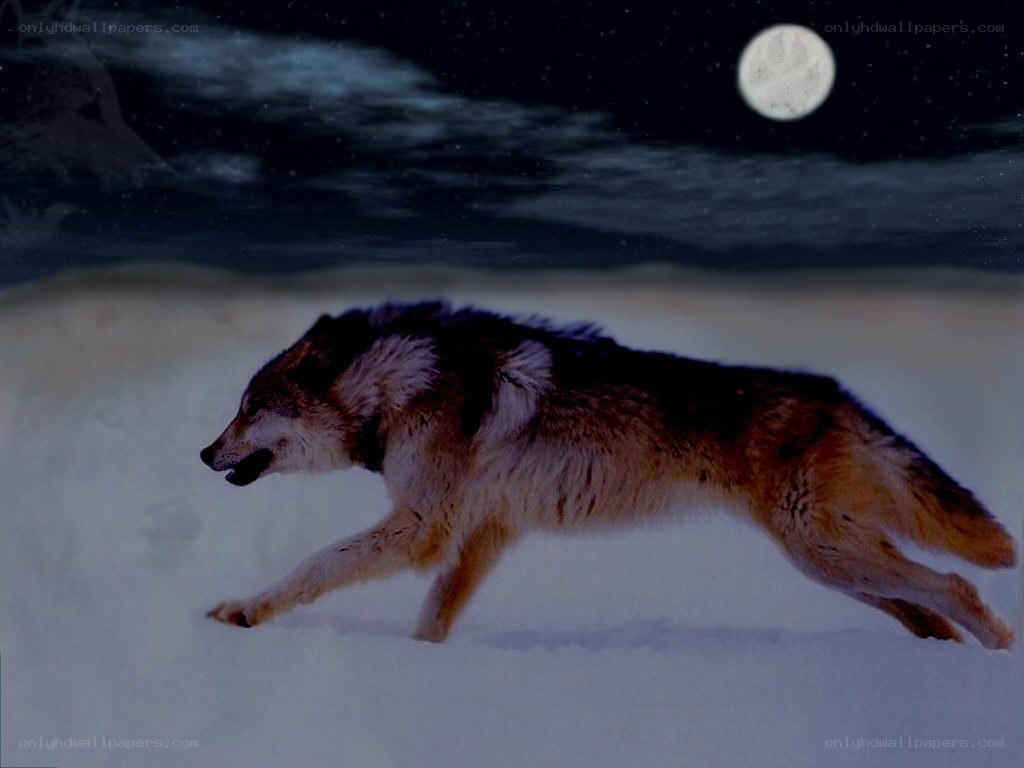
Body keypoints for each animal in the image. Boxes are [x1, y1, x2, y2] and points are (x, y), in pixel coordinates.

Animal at [200, 302, 1016, 647]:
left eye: (247, 409)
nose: (204, 455)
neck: (393, 392)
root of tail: (837, 393)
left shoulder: (422, 528)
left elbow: (313, 565)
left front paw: (243, 611)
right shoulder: (485, 532)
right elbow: (433, 617)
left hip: (826, 553)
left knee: (957, 585)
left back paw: (997, 660)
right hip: (832, 565)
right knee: (925, 608)